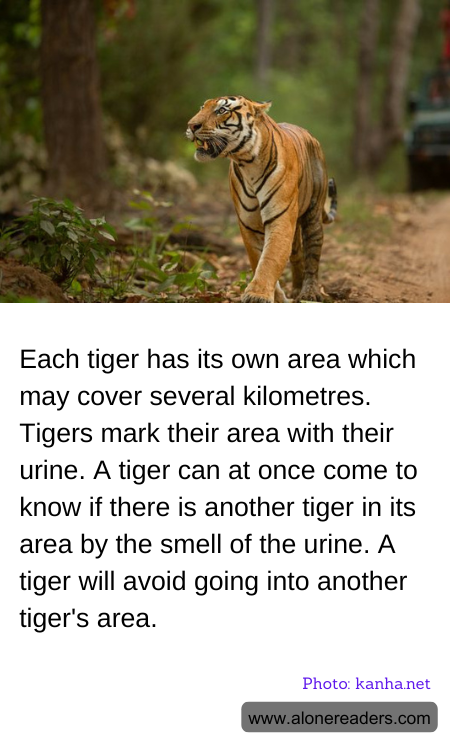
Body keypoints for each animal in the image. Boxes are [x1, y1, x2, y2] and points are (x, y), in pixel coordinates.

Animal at [186, 95, 337, 303]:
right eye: (202, 107)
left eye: (221, 110)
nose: (191, 125)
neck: (247, 162)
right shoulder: (249, 223)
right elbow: (258, 258)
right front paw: (275, 297)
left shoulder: (280, 219)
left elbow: (270, 258)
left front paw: (257, 295)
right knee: (297, 253)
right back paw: (296, 290)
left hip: (312, 216)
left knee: (312, 256)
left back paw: (310, 292)